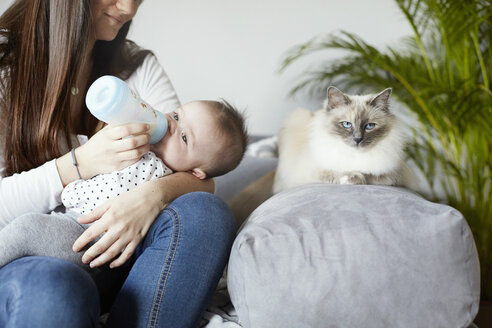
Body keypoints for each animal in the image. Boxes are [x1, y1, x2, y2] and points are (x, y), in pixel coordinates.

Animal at [272, 86, 416, 193]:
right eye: (347, 124)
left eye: (369, 126)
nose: (357, 139)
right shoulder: (314, 171)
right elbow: (337, 173)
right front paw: (350, 178)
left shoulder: (393, 175)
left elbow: (369, 175)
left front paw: (355, 177)